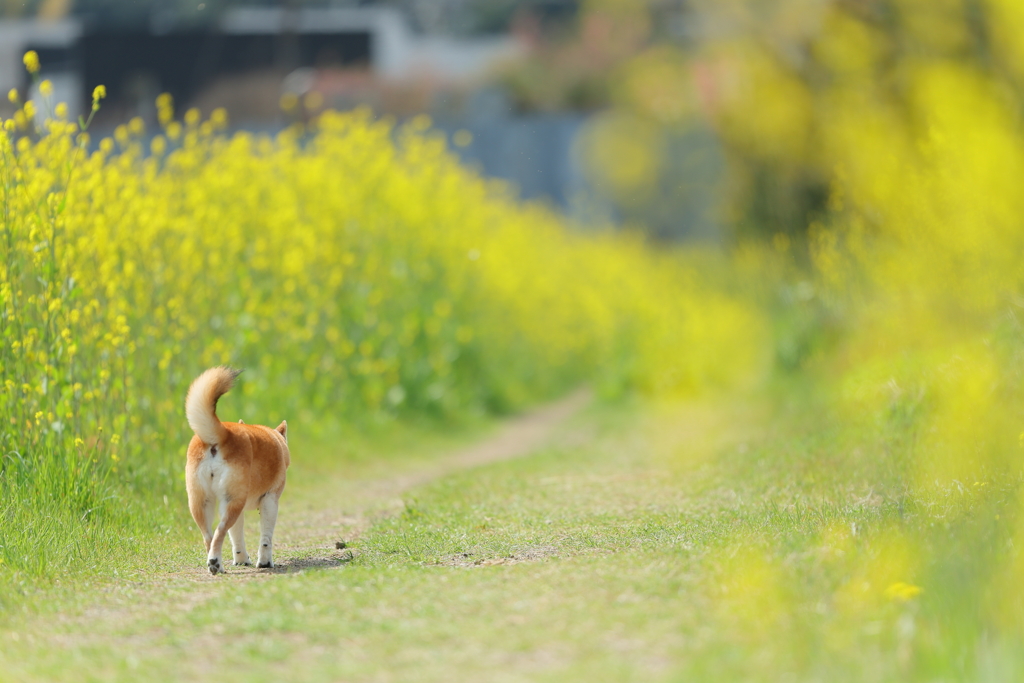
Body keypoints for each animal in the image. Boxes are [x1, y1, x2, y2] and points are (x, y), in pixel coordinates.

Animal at [182, 366, 288, 573]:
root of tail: (222, 434)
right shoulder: (270, 500)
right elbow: (266, 538)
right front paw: (265, 562)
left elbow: (236, 537)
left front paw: (241, 559)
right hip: (232, 501)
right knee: (220, 530)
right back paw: (215, 563)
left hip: (201, 502)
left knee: (209, 536)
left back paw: (215, 564)